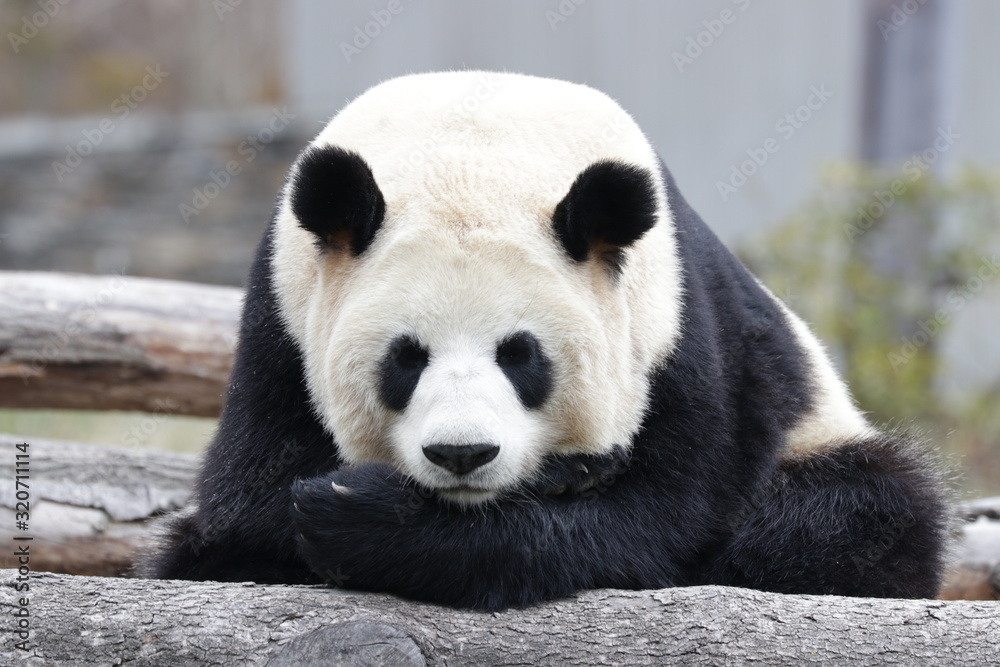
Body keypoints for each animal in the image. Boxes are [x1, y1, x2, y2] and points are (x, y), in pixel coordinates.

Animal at [145, 71, 947, 610]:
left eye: (521, 356)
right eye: (405, 358)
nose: (461, 454)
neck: (474, 144)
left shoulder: (679, 336)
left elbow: (657, 517)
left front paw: (370, 516)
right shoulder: (280, 324)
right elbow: (250, 509)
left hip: (816, 430)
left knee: (863, 511)